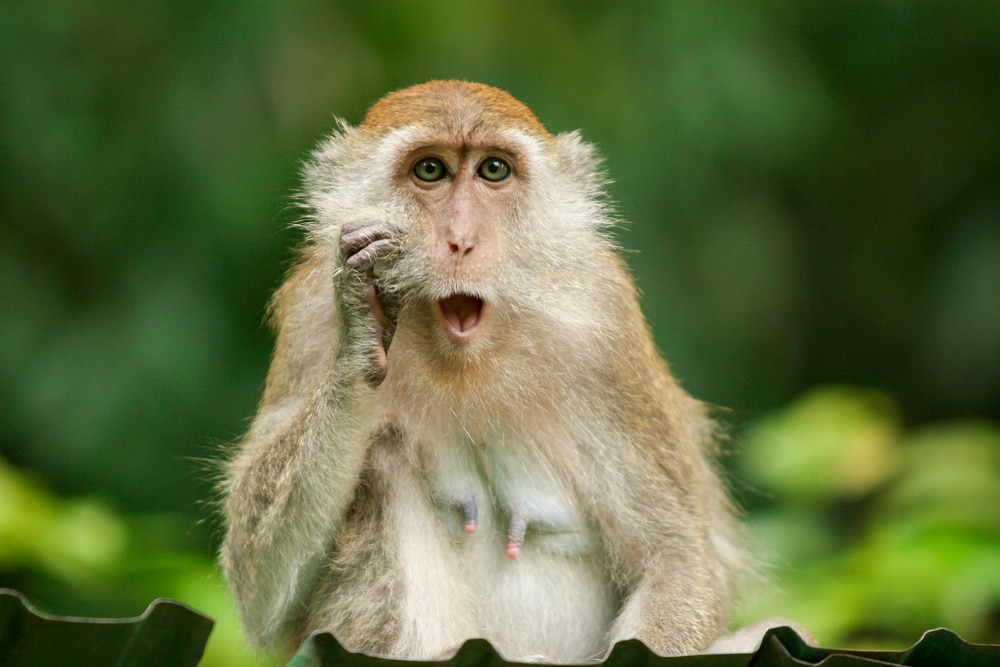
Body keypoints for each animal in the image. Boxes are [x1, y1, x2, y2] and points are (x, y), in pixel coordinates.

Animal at [220, 80, 744, 663]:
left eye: (494, 169)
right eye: (431, 170)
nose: (461, 240)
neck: (465, 363)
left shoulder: (606, 326)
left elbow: (677, 561)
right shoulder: (309, 318)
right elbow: (259, 589)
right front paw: (363, 322)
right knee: (380, 459)